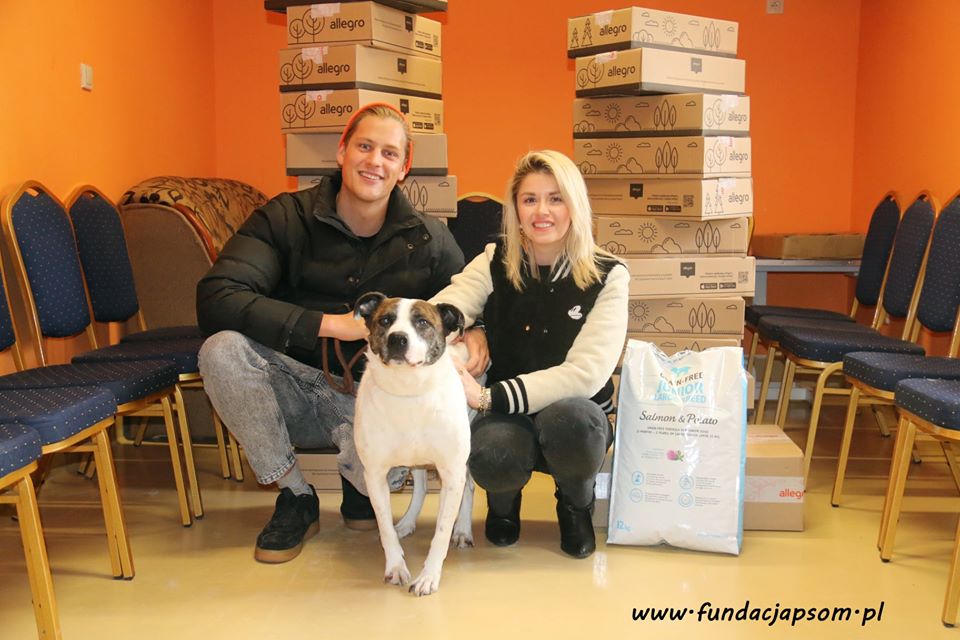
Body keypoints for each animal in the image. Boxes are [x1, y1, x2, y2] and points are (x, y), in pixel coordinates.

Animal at [354, 292, 474, 596]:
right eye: (385, 320)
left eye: (422, 322)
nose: (398, 339)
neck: (408, 389)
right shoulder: (374, 474)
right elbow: (384, 526)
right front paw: (395, 566)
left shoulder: (452, 472)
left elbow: (441, 532)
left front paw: (429, 576)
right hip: (417, 460)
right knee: (419, 488)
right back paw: (407, 523)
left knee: (468, 486)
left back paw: (463, 529)